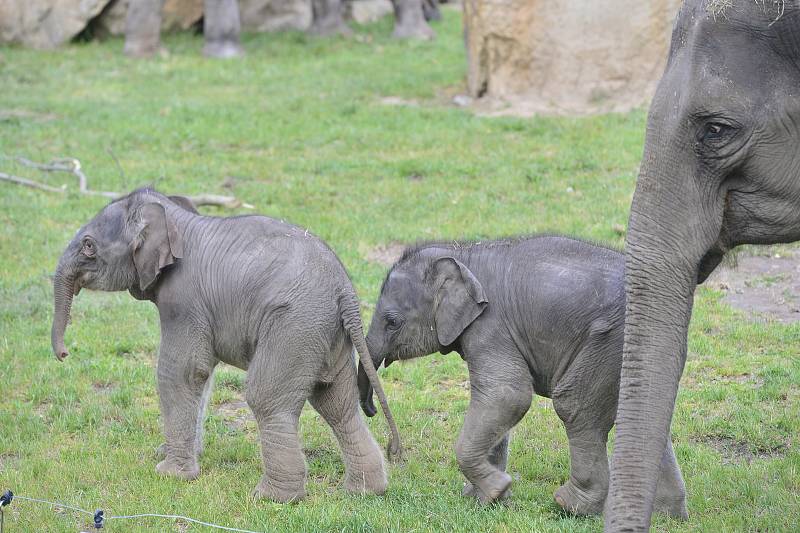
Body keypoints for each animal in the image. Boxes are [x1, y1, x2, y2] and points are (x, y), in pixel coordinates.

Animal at [50, 189, 400, 500]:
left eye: (89, 246)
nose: (64, 353)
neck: (176, 218)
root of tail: (346, 292)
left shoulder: (184, 301)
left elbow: (181, 373)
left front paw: (170, 474)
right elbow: (200, 378)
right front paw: (171, 454)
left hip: (294, 327)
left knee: (267, 399)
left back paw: (272, 498)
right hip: (326, 335)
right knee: (337, 404)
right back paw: (364, 491)